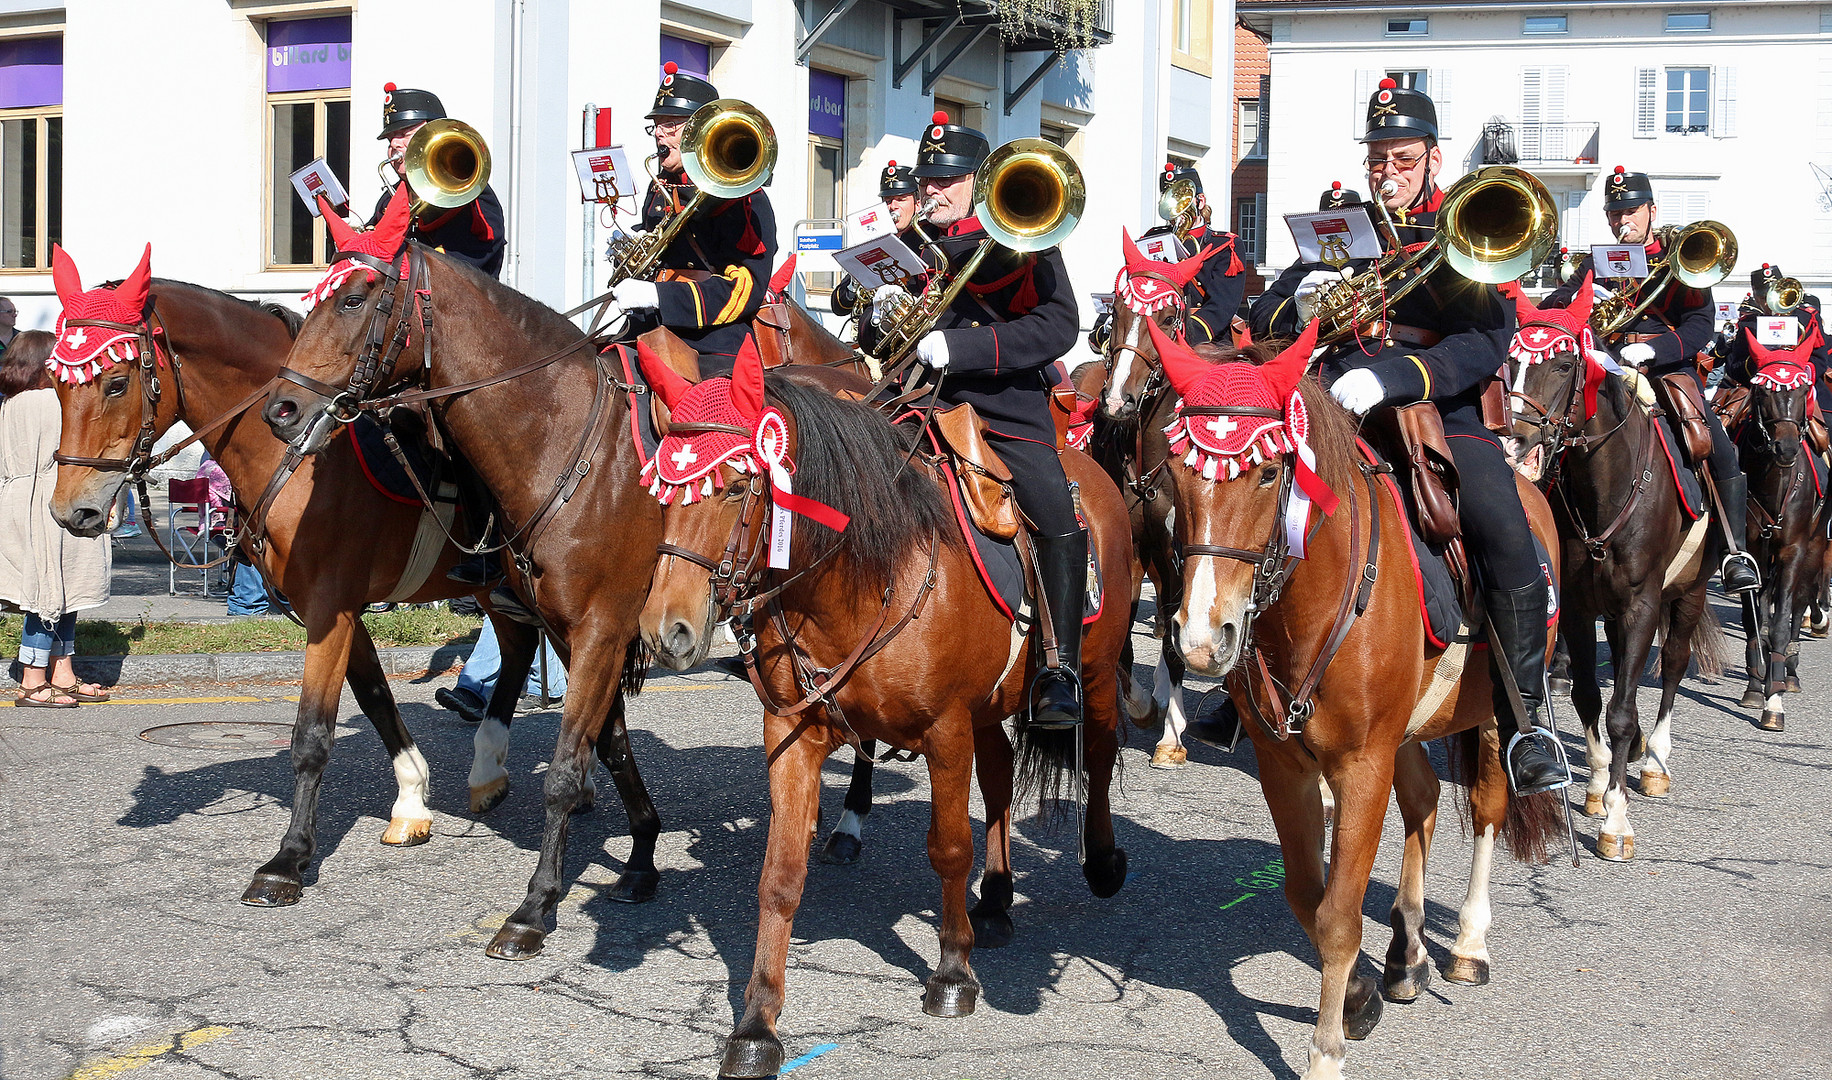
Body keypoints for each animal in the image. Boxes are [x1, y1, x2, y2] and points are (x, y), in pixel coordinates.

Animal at [41, 247, 542, 896]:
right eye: (56, 383)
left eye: (117, 381)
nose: (71, 511)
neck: (298, 455)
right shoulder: (329, 609)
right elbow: (376, 699)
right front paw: (411, 801)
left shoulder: (331, 608)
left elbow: (311, 734)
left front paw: (289, 859)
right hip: (496, 587)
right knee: (521, 644)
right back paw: (489, 770)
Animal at [637, 340, 1135, 1080]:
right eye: (661, 492)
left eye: (732, 485)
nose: (664, 631)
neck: (861, 576)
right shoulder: (793, 733)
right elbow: (779, 876)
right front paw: (756, 1026)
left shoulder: (945, 731)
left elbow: (948, 848)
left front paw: (952, 974)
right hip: (989, 707)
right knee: (1000, 775)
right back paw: (996, 900)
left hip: (1093, 675)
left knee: (1097, 756)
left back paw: (1099, 862)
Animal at [1157, 324, 1560, 1080]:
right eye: (1175, 471)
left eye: (1266, 472)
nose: (1200, 641)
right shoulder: (1286, 765)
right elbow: (1305, 895)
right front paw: (1363, 997)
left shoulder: (1362, 764)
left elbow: (1339, 917)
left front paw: (1326, 1053)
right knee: (1424, 801)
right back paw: (1405, 955)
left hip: (1493, 720)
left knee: (1487, 806)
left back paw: (1468, 944)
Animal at [1502, 281, 1714, 864]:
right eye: (1511, 363)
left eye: (1564, 363)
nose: (1514, 445)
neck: (1607, 487)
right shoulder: (1580, 607)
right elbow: (1589, 697)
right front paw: (1598, 785)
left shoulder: (1643, 604)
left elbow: (1620, 709)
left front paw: (1617, 821)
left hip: (1689, 592)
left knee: (1672, 664)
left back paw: (1654, 759)